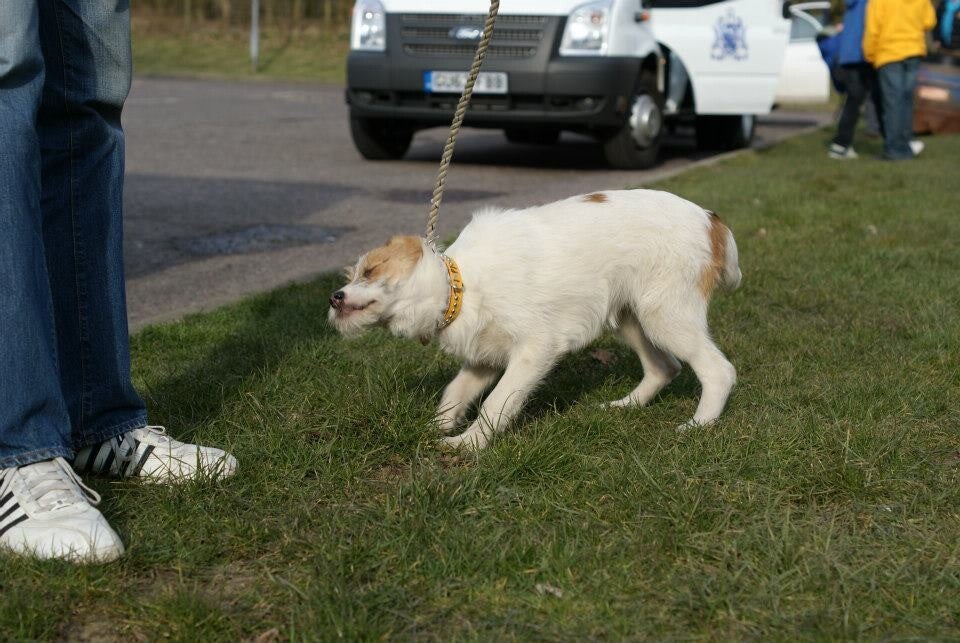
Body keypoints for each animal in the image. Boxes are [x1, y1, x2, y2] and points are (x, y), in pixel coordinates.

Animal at [328, 189, 741, 451]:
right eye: (352, 274)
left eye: (370, 270)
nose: (334, 298)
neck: (462, 286)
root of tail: (711, 220)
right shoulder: (482, 358)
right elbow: (454, 394)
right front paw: (436, 429)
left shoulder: (535, 349)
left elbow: (497, 403)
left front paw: (468, 445)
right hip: (630, 318)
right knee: (664, 367)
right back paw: (626, 406)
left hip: (664, 315)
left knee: (719, 369)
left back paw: (700, 425)